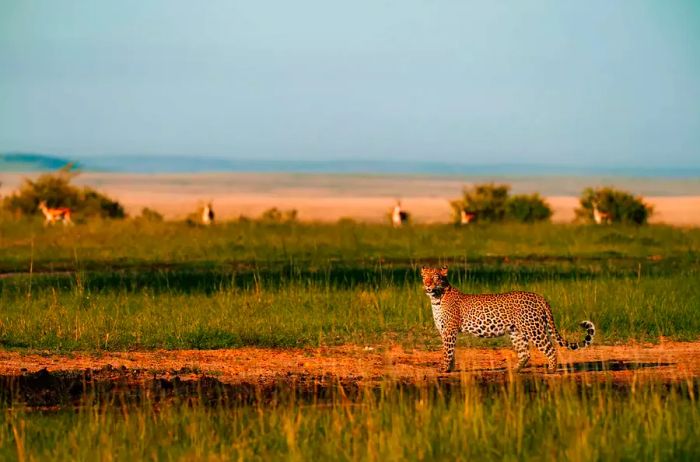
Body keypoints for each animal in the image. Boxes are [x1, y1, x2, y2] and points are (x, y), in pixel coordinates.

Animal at [422, 266, 596, 374]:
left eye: (436, 277)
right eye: (425, 277)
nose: (428, 285)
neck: (436, 298)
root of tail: (539, 297)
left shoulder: (449, 331)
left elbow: (447, 351)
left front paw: (443, 369)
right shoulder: (445, 332)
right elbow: (450, 352)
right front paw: (449, 368)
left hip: (534, 329)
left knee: (550, 348)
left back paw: (551, 370)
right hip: (517, 332)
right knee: (525, 353)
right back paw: (514, 370)